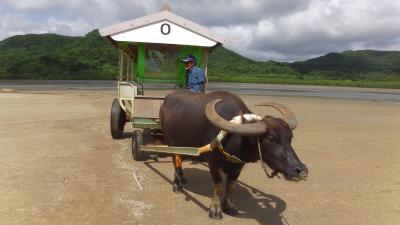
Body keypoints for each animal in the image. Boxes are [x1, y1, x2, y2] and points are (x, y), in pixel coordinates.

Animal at [159, 90, 306, 220]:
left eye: (290, 137)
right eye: (271, 138)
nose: (301, 170)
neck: (234, 138)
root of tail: (166, 100)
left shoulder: (238, 166)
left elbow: (230, 187)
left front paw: (228, 207)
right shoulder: (213, 164)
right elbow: (218, 186)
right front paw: (215, 210)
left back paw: (182, 179)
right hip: (170, 143)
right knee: (176, 162)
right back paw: (177, 185)